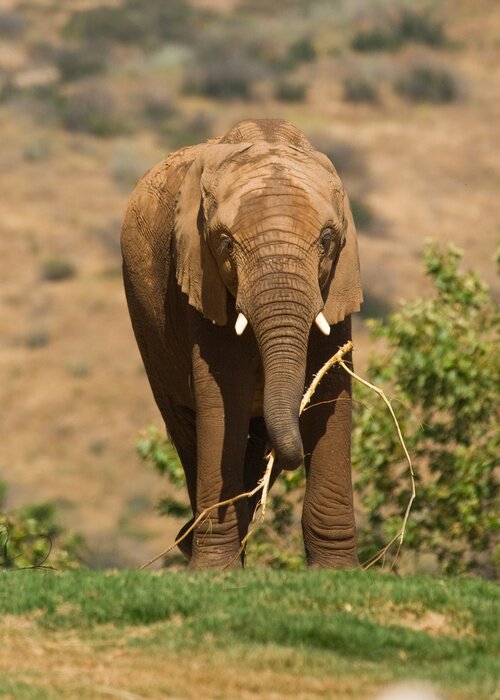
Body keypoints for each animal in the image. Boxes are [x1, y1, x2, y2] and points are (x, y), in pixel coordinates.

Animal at [121, 118, 363, 569]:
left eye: (327, 240)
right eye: (225, 244)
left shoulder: (338, 284)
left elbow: (330, 395)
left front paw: (339, 572)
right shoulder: (199, 281)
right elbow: (223, 398)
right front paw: (213, 572)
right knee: (186, 427)